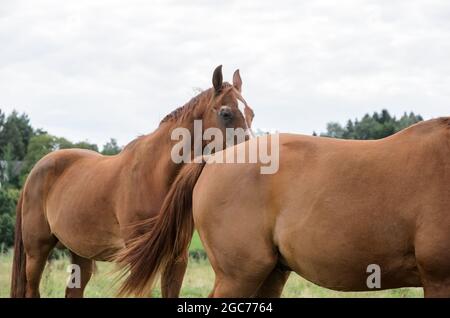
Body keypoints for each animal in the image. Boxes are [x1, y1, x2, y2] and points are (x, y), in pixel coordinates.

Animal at [10, 65, 255, 298]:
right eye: (226, 113)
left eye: (251, 114)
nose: (250, 156)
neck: (155, 176)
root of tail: (35, 170)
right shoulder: (139, 260)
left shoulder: (177, 258)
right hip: (36, 251)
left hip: (80, 253)